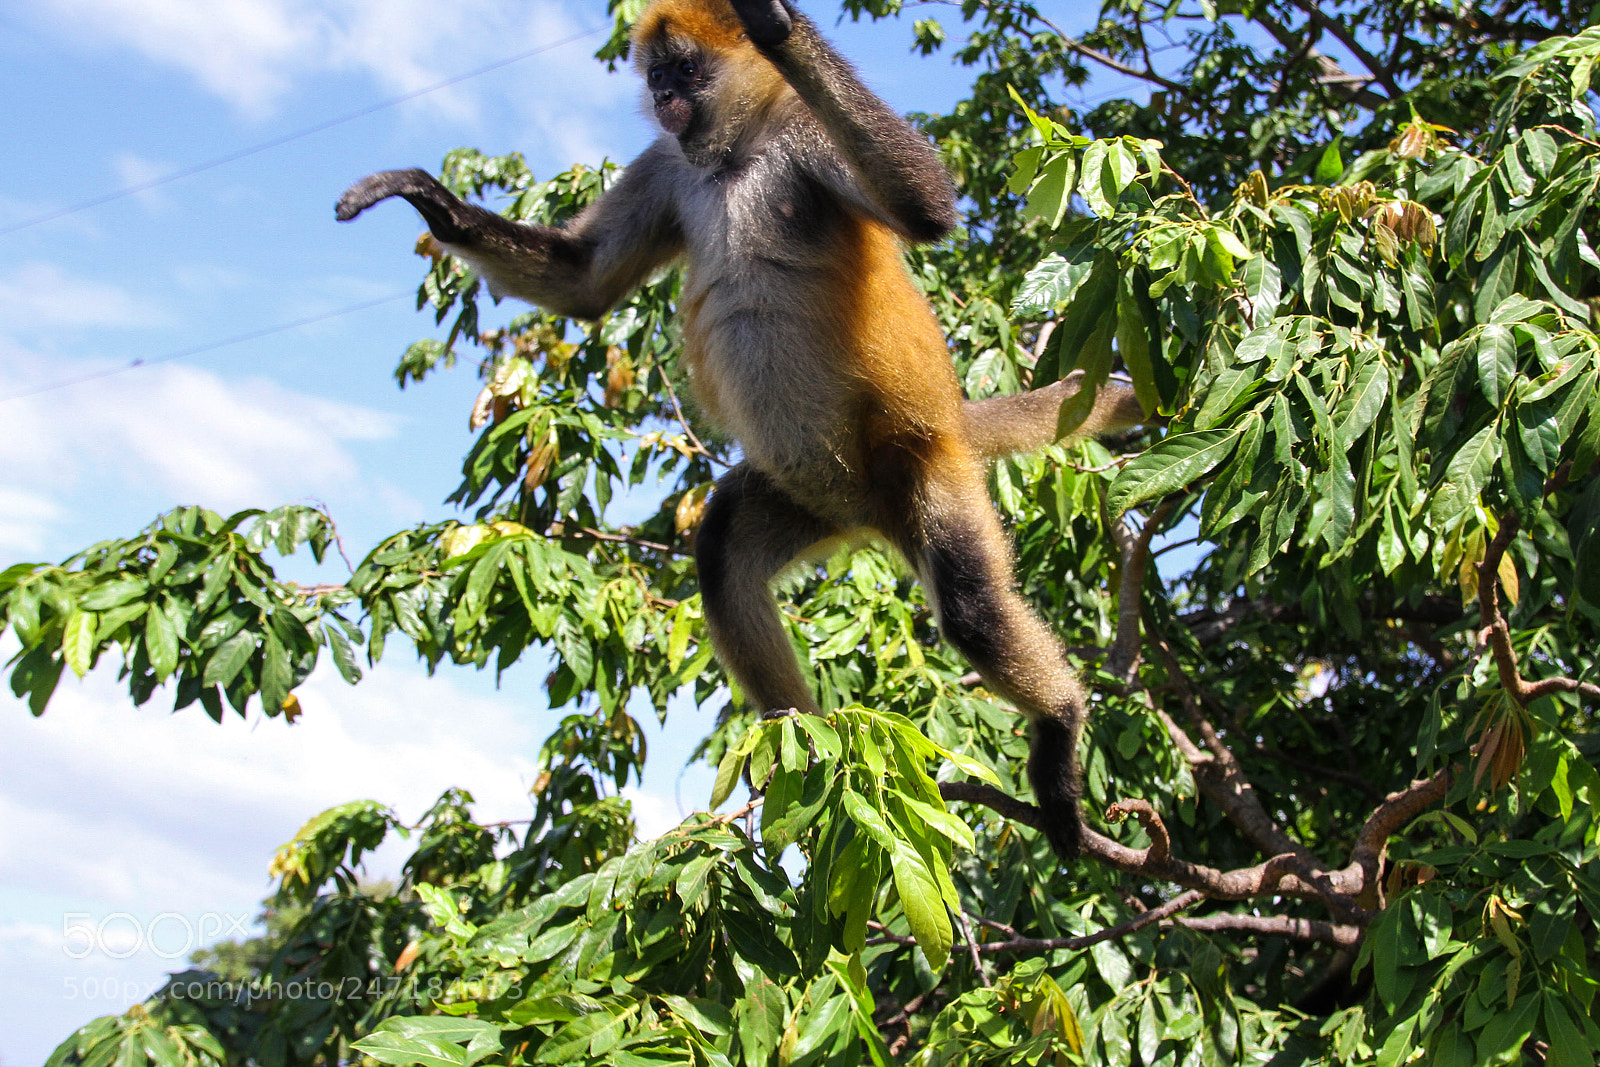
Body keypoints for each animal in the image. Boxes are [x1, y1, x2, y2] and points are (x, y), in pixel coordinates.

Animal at [336, 0, 1146, 862]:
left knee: (970, 607)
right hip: (811, 494)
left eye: (685, 72)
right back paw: (810, 743)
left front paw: (777, 24)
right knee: (723, 550)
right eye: (657, 75)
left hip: (920, 465)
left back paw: (1058, 721)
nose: (664, 97)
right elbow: (584, 283)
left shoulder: (798, 130)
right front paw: (426, 198)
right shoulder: (668, 160)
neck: (731, 156)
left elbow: (925, 207)